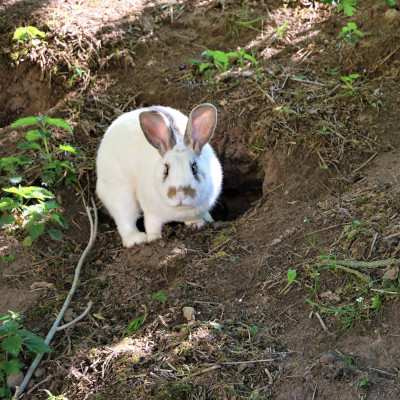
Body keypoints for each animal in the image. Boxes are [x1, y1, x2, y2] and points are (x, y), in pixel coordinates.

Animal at [95, 103, 223, 247]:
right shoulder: (151, 213)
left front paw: (197, 225)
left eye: (194, 168)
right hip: (119, 193)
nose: (180, 194)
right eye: (166, 169)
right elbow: (152, 225)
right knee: (125, 218)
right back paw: (136, 239)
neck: (180, 210)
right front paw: (154, 238)